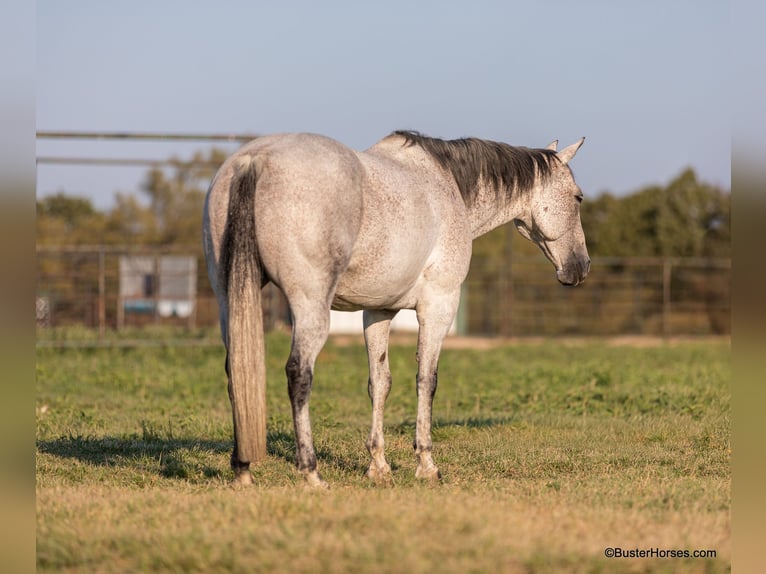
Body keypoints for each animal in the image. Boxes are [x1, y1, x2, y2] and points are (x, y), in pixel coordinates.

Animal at [202, 130, 589, 488]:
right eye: (578, 197)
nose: (581, 267)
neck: (447, 185)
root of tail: (255, 160)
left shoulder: (378, 312)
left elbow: (380, 383)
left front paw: (378, 466)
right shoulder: (438, 305)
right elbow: (426, 380)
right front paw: (427, 465)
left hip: (230, 299)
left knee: (236, 371)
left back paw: (243, 469)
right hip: (310, 307)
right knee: (299, 374)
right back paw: (311, 473)